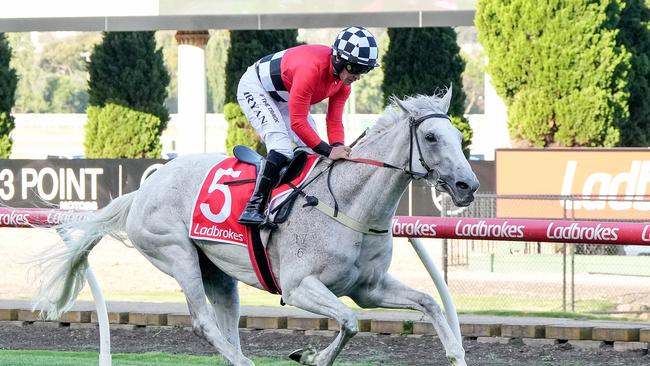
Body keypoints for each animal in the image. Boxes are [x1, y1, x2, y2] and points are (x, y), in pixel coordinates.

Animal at [36, 87, 480, 364]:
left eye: (458, 136)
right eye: (431, 136)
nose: (467, 186)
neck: (350, 205)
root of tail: (145, 188)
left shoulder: (368, 289)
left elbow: (428, 302)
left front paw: (456, 353)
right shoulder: (299, 288)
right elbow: (350, 323)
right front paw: (310, 356)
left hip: (217, 271)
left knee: (225, 321)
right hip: (177, 255)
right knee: (204, 323)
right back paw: (243, 360)